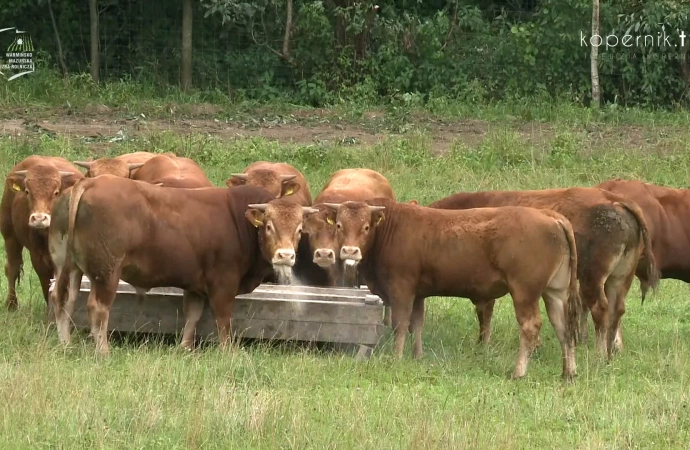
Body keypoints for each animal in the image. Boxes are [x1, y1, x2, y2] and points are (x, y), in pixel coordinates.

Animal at [1, 156, 83, 312]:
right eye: (27, 191)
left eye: (56, 192)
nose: (39, 218)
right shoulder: (38, 257)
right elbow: (47, 285)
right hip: (9, 235)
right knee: (12, 267)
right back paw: (11, 303)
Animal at [48, 176, 314, 356]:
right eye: (269, 226)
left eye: (300, 229)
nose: (285, 255)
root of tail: (91, 182)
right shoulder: (223, 283)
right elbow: (223, 318)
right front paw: (228, 351)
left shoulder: (195, 285)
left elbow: (192, 315)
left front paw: (185, 347)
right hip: (107, 272)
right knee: (98, 307)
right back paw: (103, 350)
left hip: (68, 266)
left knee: (64, 299)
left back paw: (66, 342)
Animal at [318, 200, 580, 380]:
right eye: (339, 225)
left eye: (365, 227)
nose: (350, 251)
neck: (389, 231)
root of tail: (550, 215)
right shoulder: (419, 294)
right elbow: (417, 324)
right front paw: (418, 356)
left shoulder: (402, 289)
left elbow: (400, 325)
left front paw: (397, 357)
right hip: (555, 292)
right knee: (563, 327)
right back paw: (568, 372)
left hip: (524, 292)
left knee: (530, 327)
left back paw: (519, 372)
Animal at [428, 187, 660, 358]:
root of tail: (614, 200)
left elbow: (485, 313)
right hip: (620, 278)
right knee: (616, 309)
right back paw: (613, 351)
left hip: (592, 278)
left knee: (600, 309)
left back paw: (600, 354)